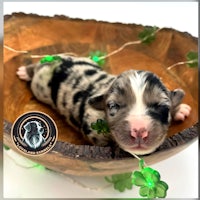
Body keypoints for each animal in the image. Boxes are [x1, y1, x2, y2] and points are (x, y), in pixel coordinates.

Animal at [16, 55, 191, 156]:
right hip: (39, 86)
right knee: (35, 70)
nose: (139, 132)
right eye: (113, 106)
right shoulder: (92, 128)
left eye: (163, 108)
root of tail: (54, 60)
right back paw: (25, 71)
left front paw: (179, 109)